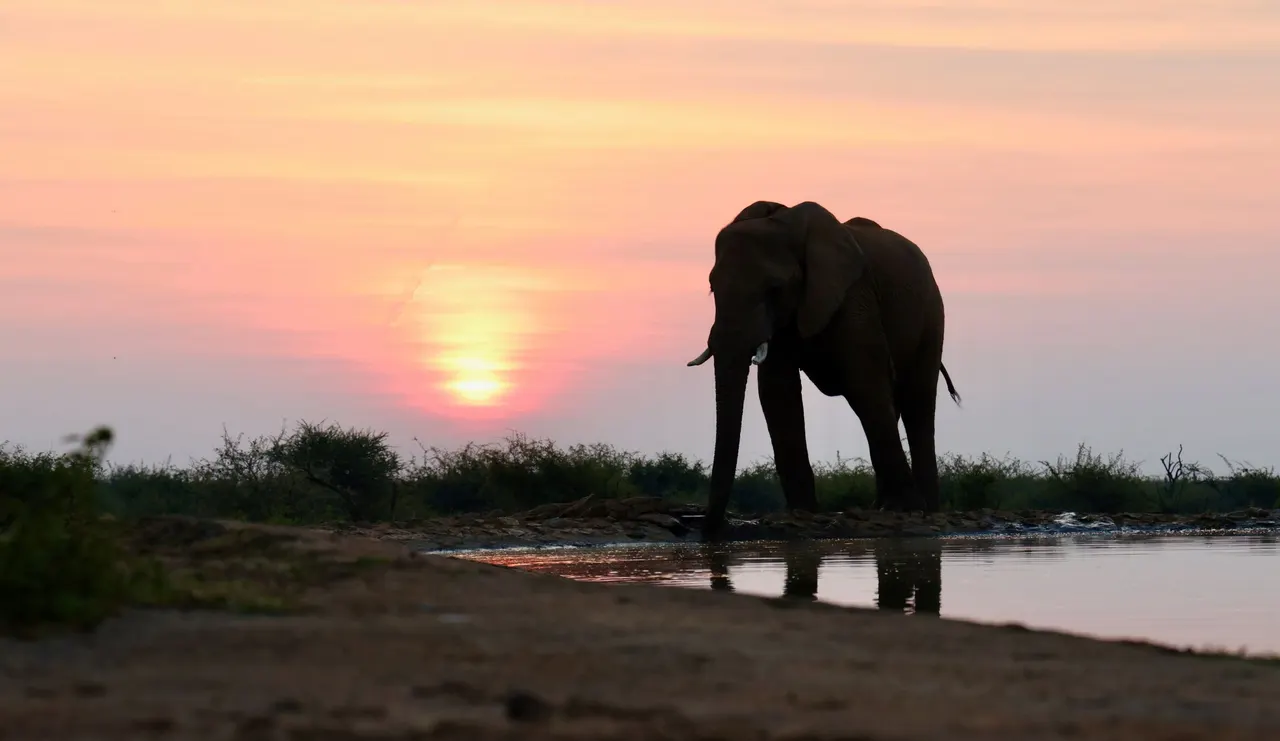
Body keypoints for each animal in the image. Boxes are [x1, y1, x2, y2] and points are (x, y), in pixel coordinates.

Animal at [686, 200, 960, 538]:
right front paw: (802, 512)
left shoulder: (853, 295)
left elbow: (864, 381)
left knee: (916, 402)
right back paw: (885, 506)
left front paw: (906, 508)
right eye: (712, 288)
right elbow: (778, 392)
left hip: (932, 316)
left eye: (775, 288)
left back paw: (922, 509)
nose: (713, 527)